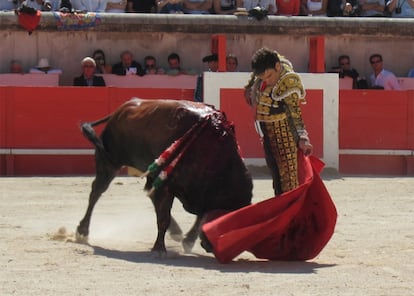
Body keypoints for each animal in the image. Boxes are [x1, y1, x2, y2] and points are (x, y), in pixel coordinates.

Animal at [76, 99, 254, 254]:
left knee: (149, 195)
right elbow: (164, 217)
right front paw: (159, 248)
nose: (209, 247)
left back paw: (176, 232)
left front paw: (187, 241)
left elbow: (197, 217)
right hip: (109, 162)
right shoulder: (167, 185)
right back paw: (82, 231)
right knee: (96, 192)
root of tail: (118, 111)